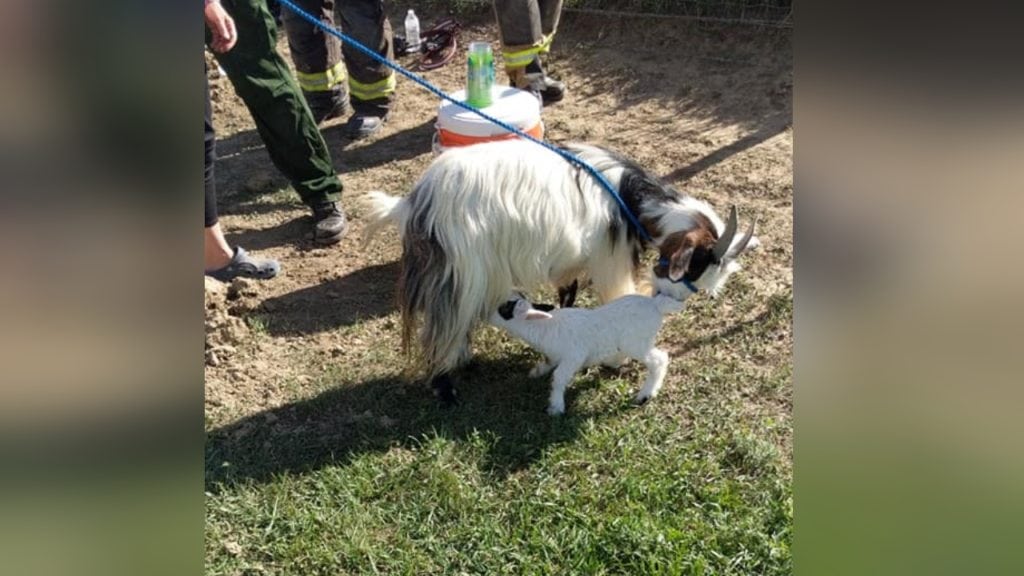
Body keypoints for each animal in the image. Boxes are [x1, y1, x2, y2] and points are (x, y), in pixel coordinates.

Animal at [489, 291, 684, 412]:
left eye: (504, 308)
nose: (486, 311)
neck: (543, 325)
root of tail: (656, 304)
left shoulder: (574, 356)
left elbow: (558, 377)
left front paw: (556, 407)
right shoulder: (555, 355)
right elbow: (548, 363)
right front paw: (536, 372)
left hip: (636, 343)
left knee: (659, 360)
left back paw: (645, 394)